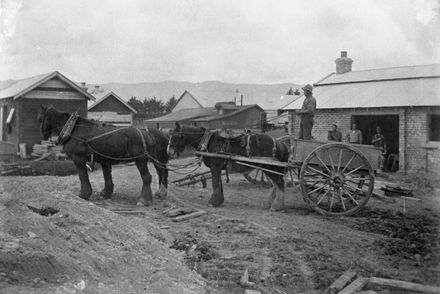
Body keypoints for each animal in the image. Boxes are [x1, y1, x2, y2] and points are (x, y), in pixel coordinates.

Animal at [37, 104, 169, 206]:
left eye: (39, 118)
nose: (42, 134)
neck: (73, 130)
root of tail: (147, 134)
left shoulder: (78, 159)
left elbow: (83, 176)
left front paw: (84, 194)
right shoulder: (105, 160)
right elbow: (107, 177)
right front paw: (106, 193)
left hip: (141, 160)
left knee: (147, 177)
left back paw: (145, 199)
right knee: (160, 172)